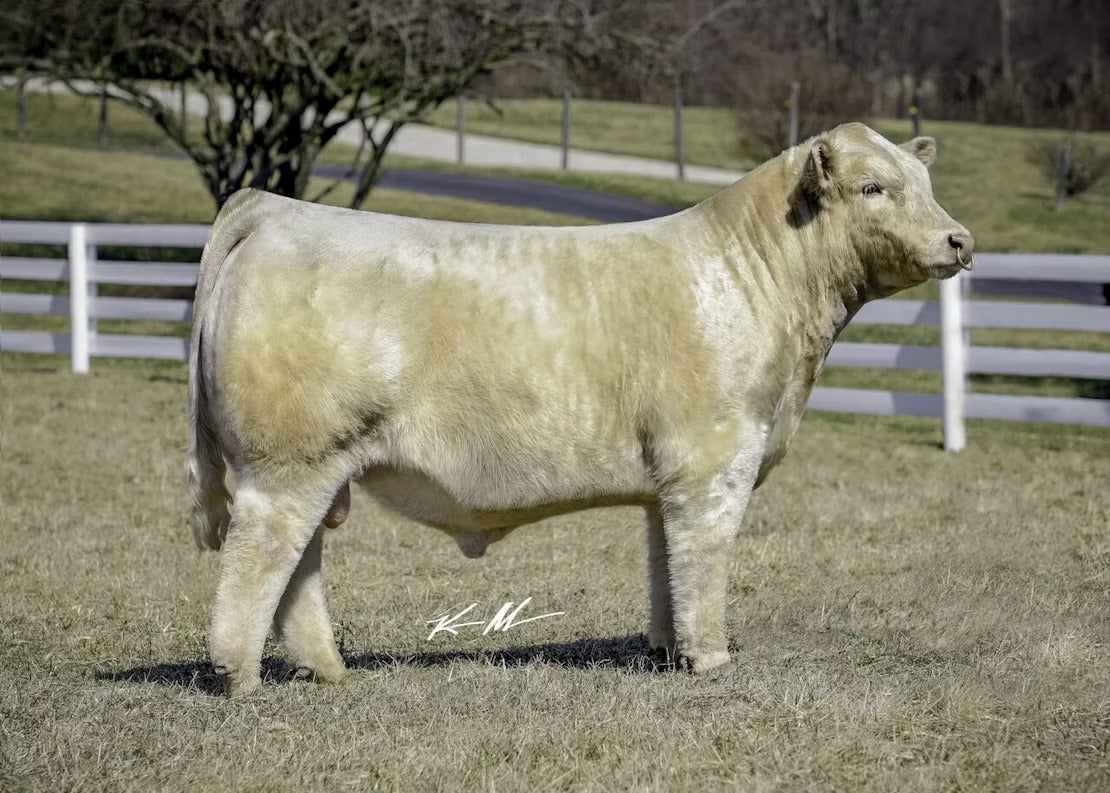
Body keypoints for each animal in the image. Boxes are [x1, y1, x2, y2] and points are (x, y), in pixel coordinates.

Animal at [186, 122, 974, 695]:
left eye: (927, 185)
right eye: (874, 186)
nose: (959, 238)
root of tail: (274, 209)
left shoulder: (669, 479)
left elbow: (667, 564)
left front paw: (668, 651)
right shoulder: (716, 459)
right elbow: (705, 560)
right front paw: (712, 659)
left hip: (313, 466)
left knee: (299, 566)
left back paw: (326, 669)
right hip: (291, 460)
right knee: (260, 558)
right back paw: (240, 677)